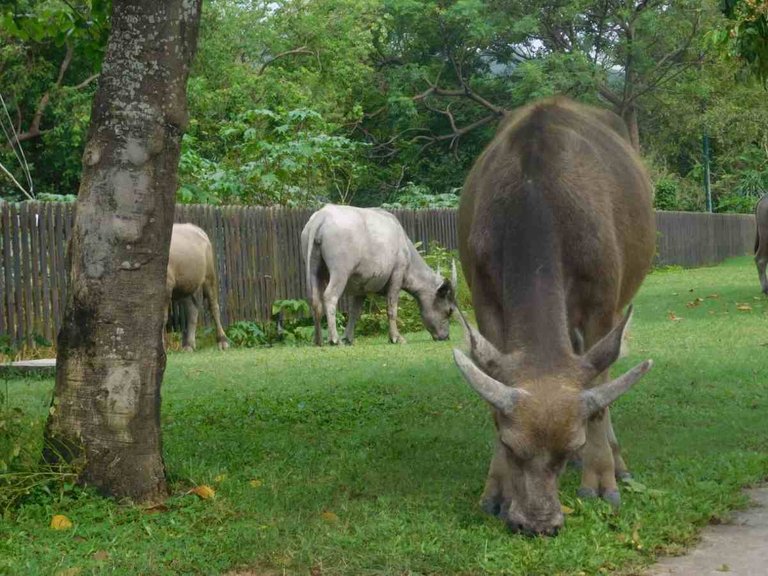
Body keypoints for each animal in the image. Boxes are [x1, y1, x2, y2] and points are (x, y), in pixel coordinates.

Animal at [166, 223, 228, 352]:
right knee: (192, 309)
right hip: (186, 286)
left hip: (209, 277)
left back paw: (222, 341)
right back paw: (189, 344)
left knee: (214, 307)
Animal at [300, 204, 456, 346]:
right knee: (329, 297)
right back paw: (334, 339)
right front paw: (395, 337)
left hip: (315, 271)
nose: (446, 337)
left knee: (315, 301)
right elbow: (391, 308)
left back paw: (318, 340)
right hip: (340, 272)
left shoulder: (360, 288)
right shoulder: (397, 275)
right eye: (449, 311)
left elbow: (354, 312)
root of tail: (321, 217)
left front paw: (348, 338)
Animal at [452, 95, 656, 536]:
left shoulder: (602, 304)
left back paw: (617, 463)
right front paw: (495, 492)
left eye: (570, 446)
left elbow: (598, 399)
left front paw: (601, 482)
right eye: (509, 443)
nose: (538, 524)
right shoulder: (484, 297)